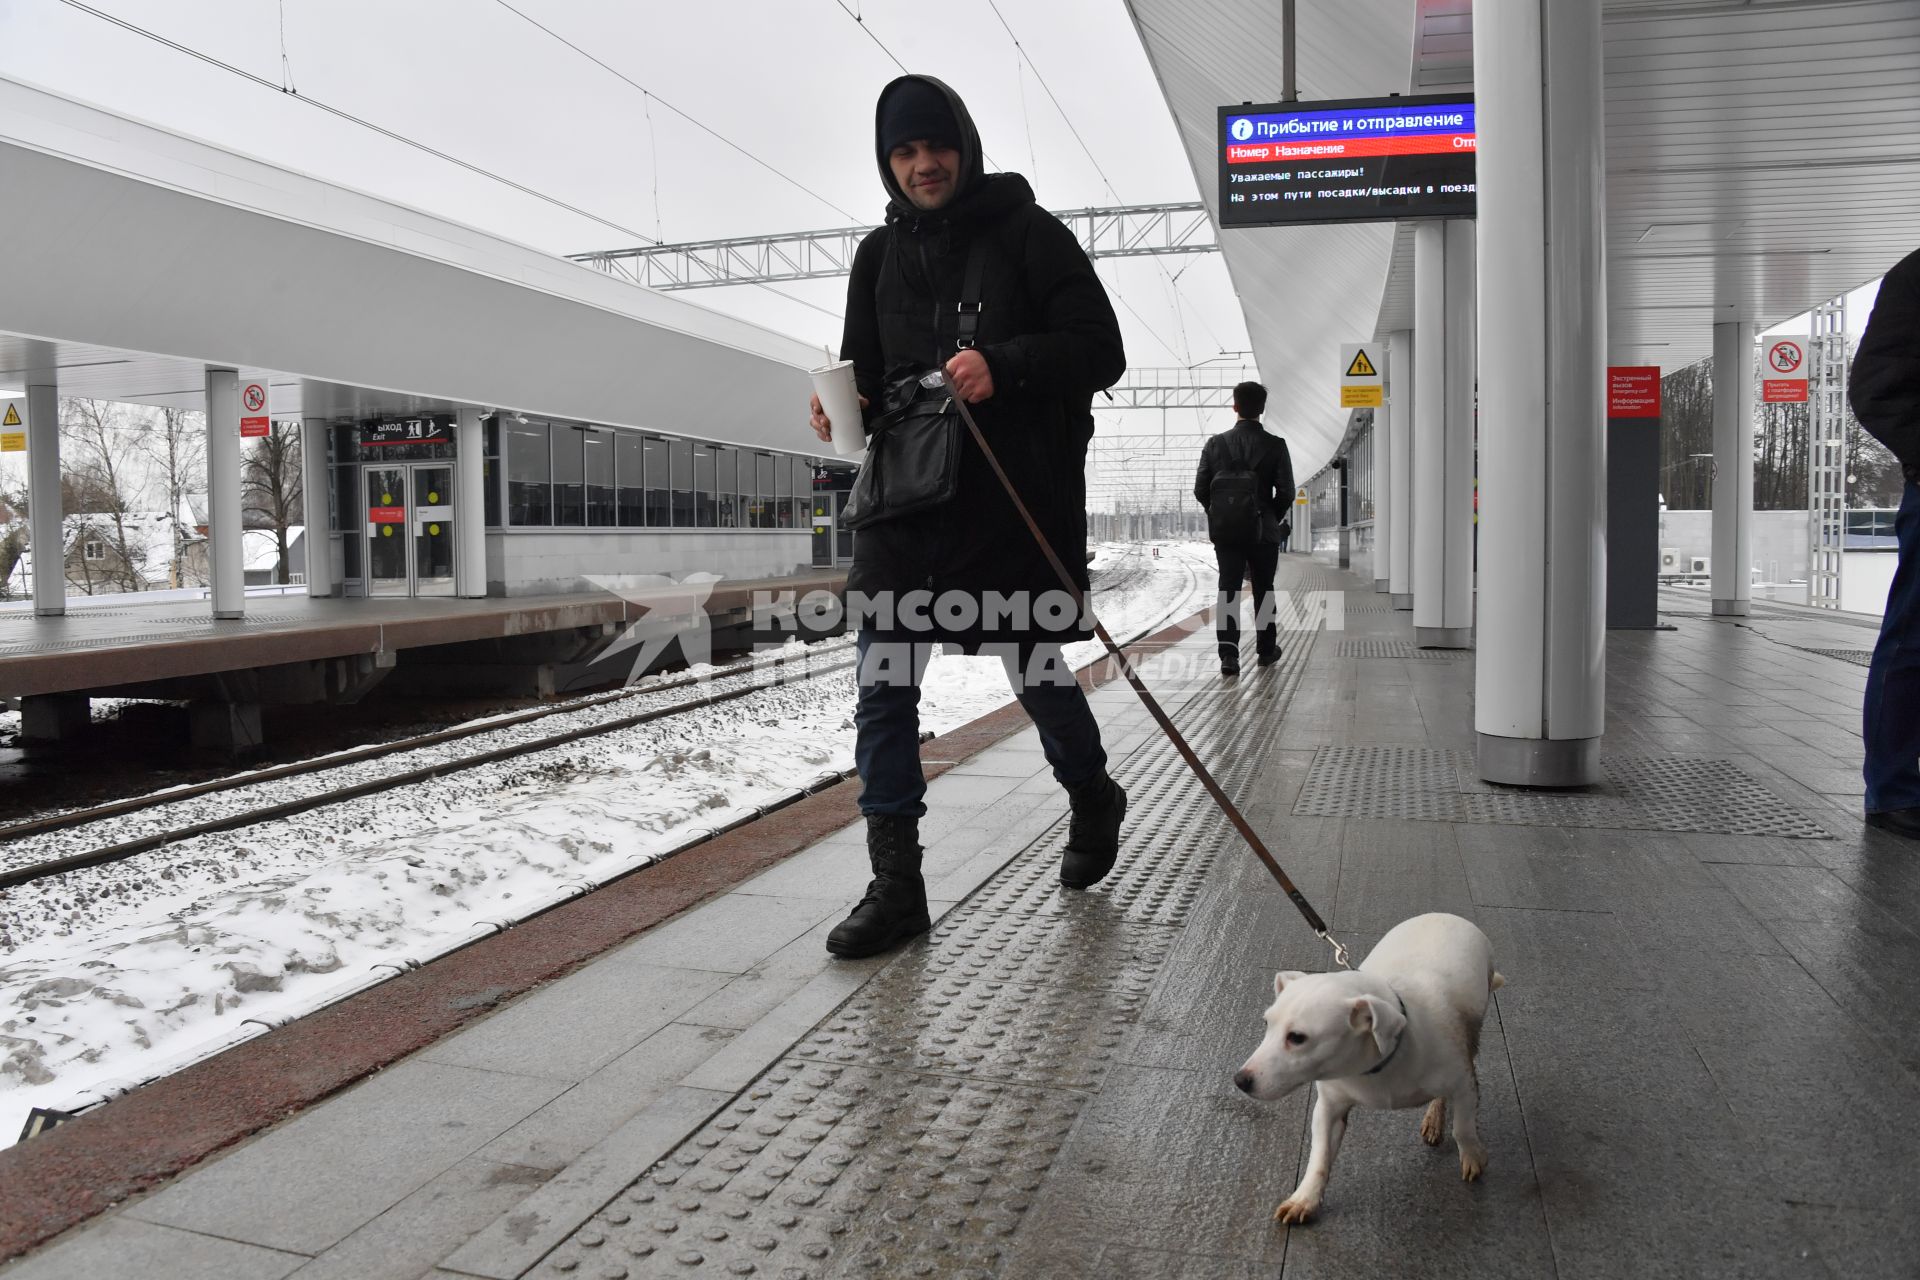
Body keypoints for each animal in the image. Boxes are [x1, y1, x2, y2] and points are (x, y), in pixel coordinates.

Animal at [1236, 909, 1505, 1220]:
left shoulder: (1463, 1082)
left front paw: (1473, 1155)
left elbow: (1463, 1126)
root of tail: (1443, 914)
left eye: (1297, 1037)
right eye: (1267, 1024)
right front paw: (1305, 1198)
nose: (1240, 1080)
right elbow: (1320, 1156)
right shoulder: (1330, 1106)